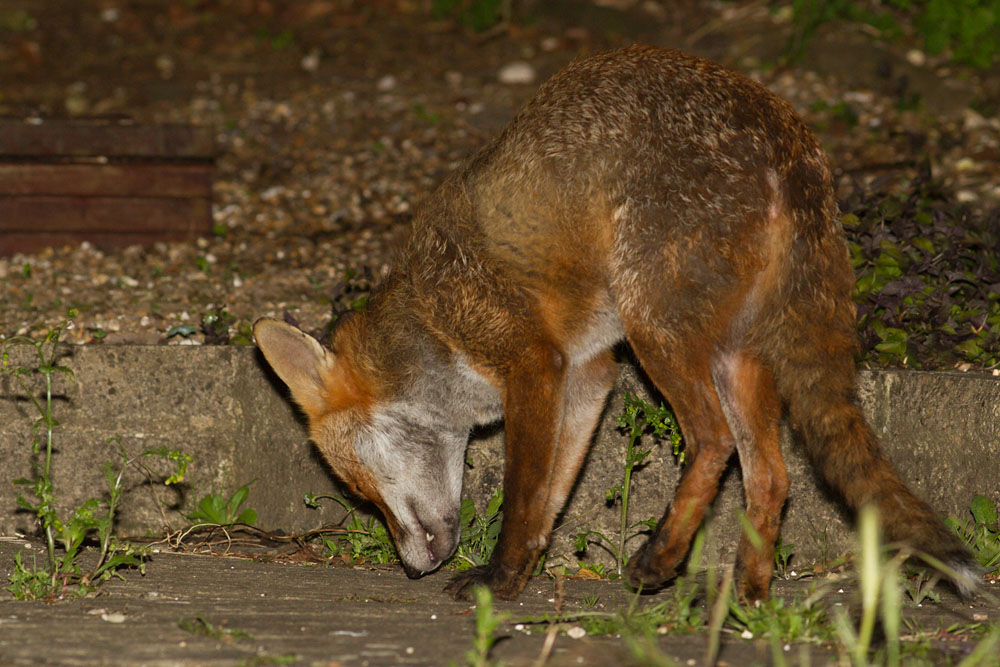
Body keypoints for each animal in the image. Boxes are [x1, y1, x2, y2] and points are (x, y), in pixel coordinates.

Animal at [253, 44, 978, 602]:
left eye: (356, 486)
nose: (412, 568)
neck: (433, 322)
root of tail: (788, 137)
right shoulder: (588, 373)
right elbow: (552, 496)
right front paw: (521, 571)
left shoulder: (531, 362)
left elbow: (523, 494)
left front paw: (498, 580)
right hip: (735, 354)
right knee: (772, 475)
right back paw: (746, 599)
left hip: (653, 323)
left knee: (713, 441)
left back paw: (661, 559)